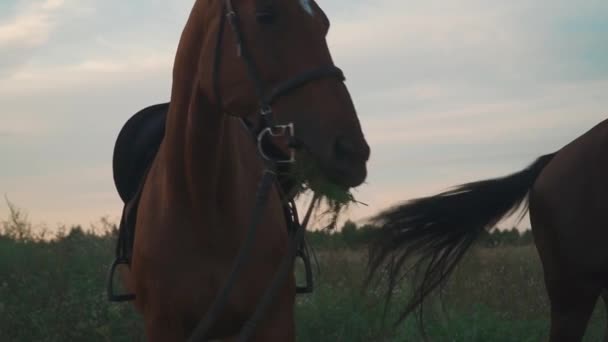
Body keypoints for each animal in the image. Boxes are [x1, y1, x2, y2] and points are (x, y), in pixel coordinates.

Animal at [116, 0, 368, 340]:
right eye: (265, 14)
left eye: (324, 24)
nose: (352, 152)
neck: (201, 203)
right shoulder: (163, 326)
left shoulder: (274, 320)